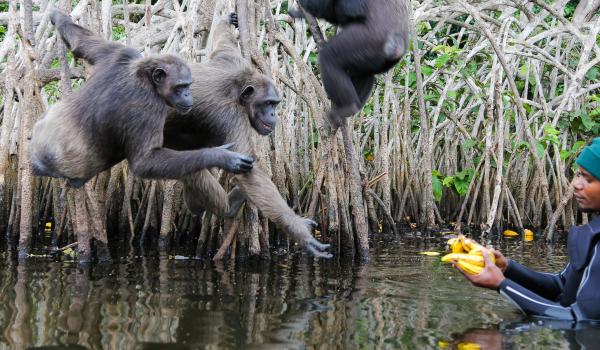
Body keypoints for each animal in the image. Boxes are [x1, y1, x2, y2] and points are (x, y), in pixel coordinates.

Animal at [32, 8, 253, 189]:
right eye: (181, 86)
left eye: (188, 85)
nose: (188, 94)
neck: (145, 77)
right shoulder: (148, 106)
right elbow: (145, 161)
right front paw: (221, 156)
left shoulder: (121, 53)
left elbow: (81, 42)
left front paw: (56, 15)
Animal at [162, 15, 330, 258]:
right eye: (268, 103)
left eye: (275, 103)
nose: (274, 114)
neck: (238, 89)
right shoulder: (230, 115)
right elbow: (248, 170)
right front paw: (299, 230)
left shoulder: (231, 62)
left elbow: (222, 47)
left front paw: (227, 20)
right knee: (192, 168)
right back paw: (228, 207)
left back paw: (195, 204)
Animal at [290, 0, 408, 129]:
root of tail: (397, 46)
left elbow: (348, 9)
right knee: (366, 74)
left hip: (366, 41)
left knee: (329, 57)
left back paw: (348, 108)